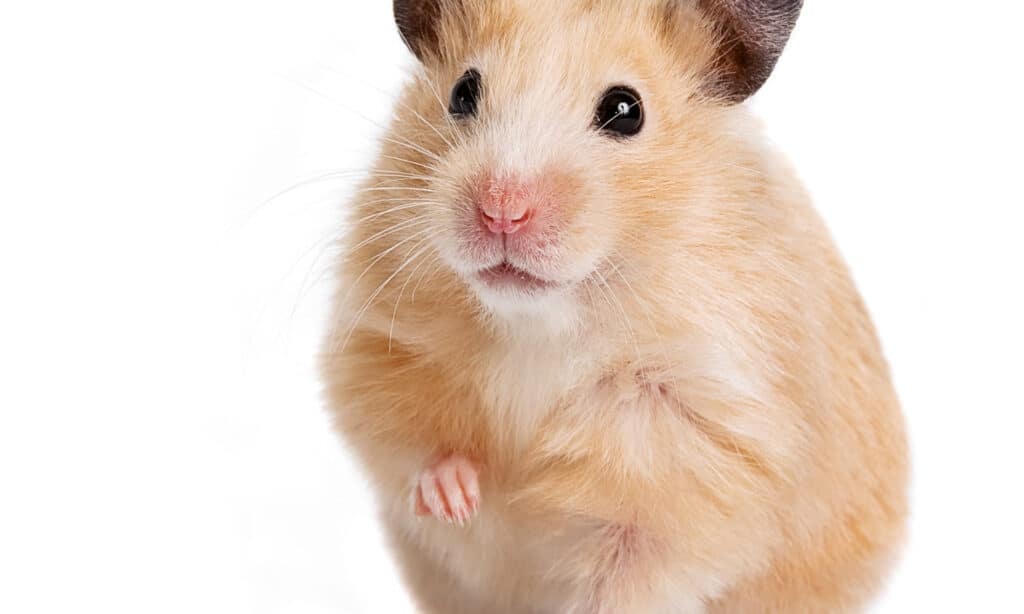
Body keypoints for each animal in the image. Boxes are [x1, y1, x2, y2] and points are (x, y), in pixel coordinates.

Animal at [319, 2, 905, 609]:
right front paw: (456, 500)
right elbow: (409, 442)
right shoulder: (377, 340)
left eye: (626, 111)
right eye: (462, 92)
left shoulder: (696, 446)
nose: (501, 211)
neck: (541, 322)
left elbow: (631, 566)